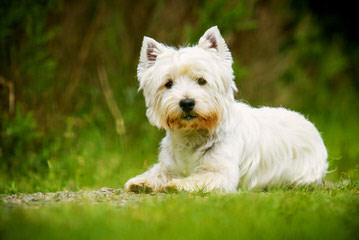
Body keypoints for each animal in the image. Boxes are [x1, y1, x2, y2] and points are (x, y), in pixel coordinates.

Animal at [124, 25, 330, 193]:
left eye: (202, 81)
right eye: (168, 84)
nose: (187, 103)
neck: (192, 135)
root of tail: (310, 124)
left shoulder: (221, 174)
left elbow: (198, 178)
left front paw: (177, 184)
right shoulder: (169, 165)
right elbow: (158, 172)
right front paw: (141, 182)